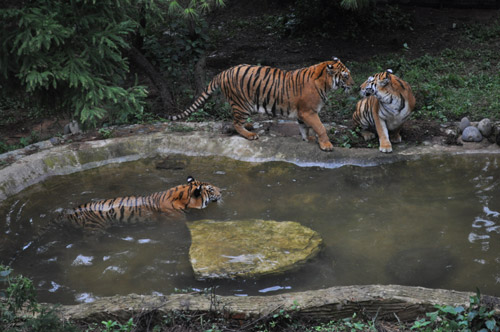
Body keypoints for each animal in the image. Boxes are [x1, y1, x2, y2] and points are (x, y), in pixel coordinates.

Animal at [170, 56, 354, 152]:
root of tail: (224, 71)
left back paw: (249, 126)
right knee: (235, 123)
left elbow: (304, 127)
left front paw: (307, 138)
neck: (326, 83)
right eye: (346, 76)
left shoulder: (303, 113)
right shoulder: (309, 111)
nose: (353, 85)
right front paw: (326, 145)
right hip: (242, 104)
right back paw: (250, 134)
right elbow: (320, 127)